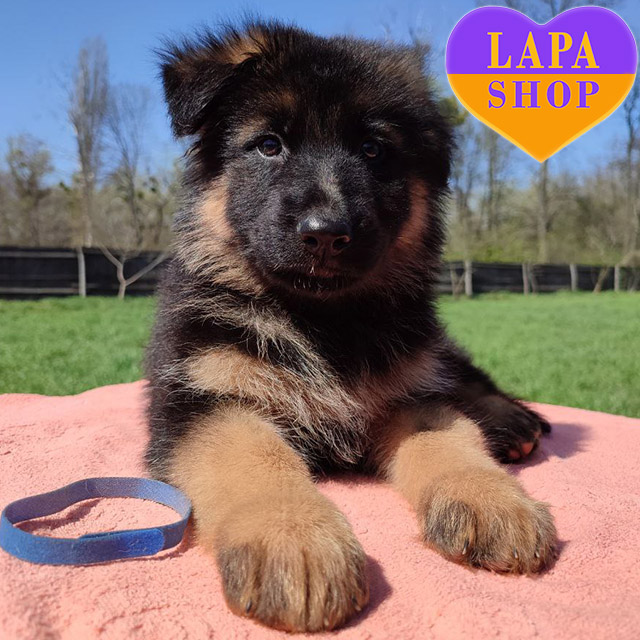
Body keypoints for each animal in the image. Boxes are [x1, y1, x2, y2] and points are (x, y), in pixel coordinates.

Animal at [145, 21, 556, 633]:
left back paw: (509, 420)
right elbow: (253, 454)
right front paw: (294, 540)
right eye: (269, 145)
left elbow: (450, 437)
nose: (325, 233)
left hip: (432, 350)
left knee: (467, 377)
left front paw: (492, 500)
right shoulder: (204, 399)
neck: (322, 319)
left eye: (373, 150)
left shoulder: (413, 393)